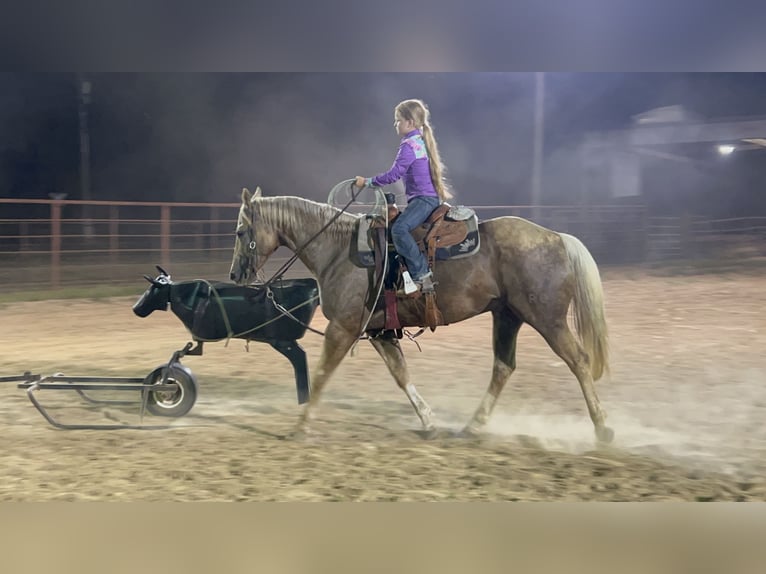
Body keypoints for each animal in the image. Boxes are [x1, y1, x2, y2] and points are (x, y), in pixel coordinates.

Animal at [231, 187, 616, 444]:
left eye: (240, 231)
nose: (235, 275)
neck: (338, 250)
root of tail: (557, 238)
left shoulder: (342, 328)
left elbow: (323, 374)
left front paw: (300, 426)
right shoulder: (379, 332)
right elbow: (401, 374)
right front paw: (429, 422)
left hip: (547, 318)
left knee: (578, 360)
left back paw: (603, 428)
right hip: (507, 317)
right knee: (503, 367)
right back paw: (473, 425)